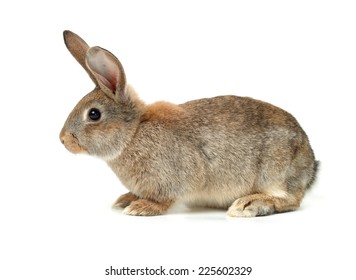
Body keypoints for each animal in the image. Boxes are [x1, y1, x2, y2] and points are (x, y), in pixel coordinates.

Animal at [59, 31, 318, 219]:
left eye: (94, 115)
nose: (63, 140)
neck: (132, 134)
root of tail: (308, 157)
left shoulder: (175, 177)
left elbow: (165, 198)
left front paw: (141, 207)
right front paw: (126, 199)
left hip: (275, 172)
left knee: (290, 200)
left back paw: (249, 204)